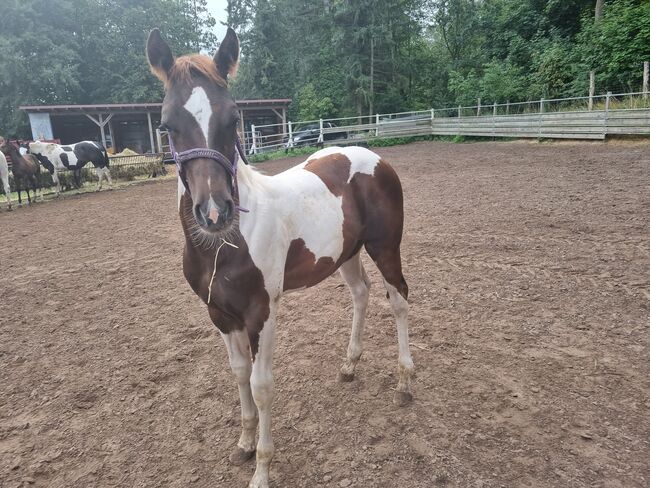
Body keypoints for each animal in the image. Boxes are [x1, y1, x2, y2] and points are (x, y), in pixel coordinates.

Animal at [146, 28, 412, 486]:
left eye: (234, 117)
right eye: (166, 125)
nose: (214, 213)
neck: (225, 245)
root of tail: (374, 156)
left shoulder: (261, 312)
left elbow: (261, 384)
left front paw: (262, 469)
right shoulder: (220, 315)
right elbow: (238, 374)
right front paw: (243, 444)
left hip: (384, 247)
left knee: (398, 297)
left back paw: (404, 383)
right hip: (346, 254)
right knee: (361, 294)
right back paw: (349, 365)